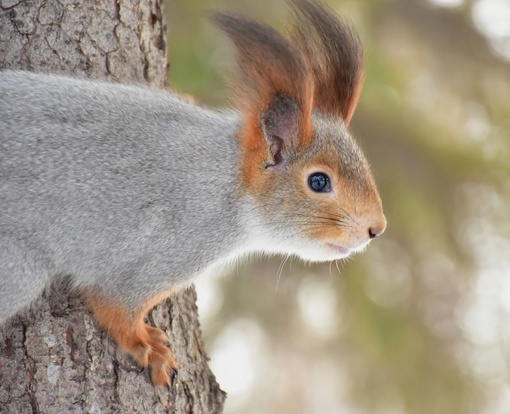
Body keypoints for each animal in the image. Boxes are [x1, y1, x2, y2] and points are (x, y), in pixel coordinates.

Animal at [0, 0, 384, 386]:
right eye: (319, 182)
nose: (377, 229)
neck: (225, 180)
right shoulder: (170, 249)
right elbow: (115, 304)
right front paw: (147, 347)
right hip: (19, 268)